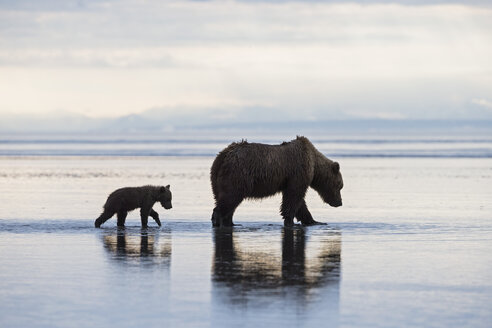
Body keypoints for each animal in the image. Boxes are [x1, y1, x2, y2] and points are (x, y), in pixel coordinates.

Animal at [210, 137, 342, 227]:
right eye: (340, 186)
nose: (339, 203)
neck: (314, 164)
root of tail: (223, 155)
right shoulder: (298, 172)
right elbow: (293, 198)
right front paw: (290, 221)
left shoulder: (290, 180)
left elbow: (299, 202)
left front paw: (315, 221)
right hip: (238, 175)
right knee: (230, 197)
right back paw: (219, 221)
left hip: (217, 178)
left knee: (224, 199)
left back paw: (231, 223)